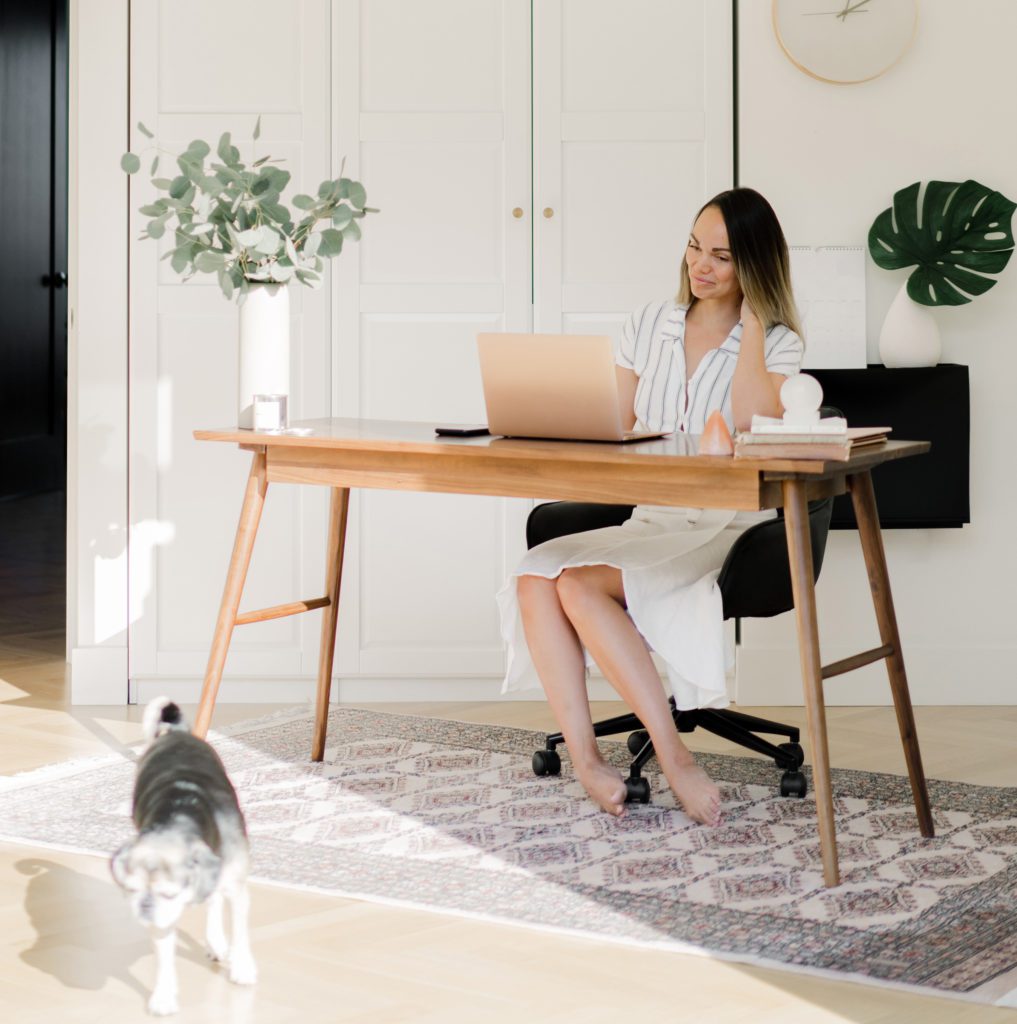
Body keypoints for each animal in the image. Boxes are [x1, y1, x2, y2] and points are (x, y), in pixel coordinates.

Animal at [108, 696, 253, 1015]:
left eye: (169, 893)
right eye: (131, 890)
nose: (145, 908)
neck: (180, 816)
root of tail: (176, 733)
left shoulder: (236, 888)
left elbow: (240, 931)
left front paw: (243, 969)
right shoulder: (163, 920)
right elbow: (164, 960)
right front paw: (163, 997)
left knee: (215, 901)